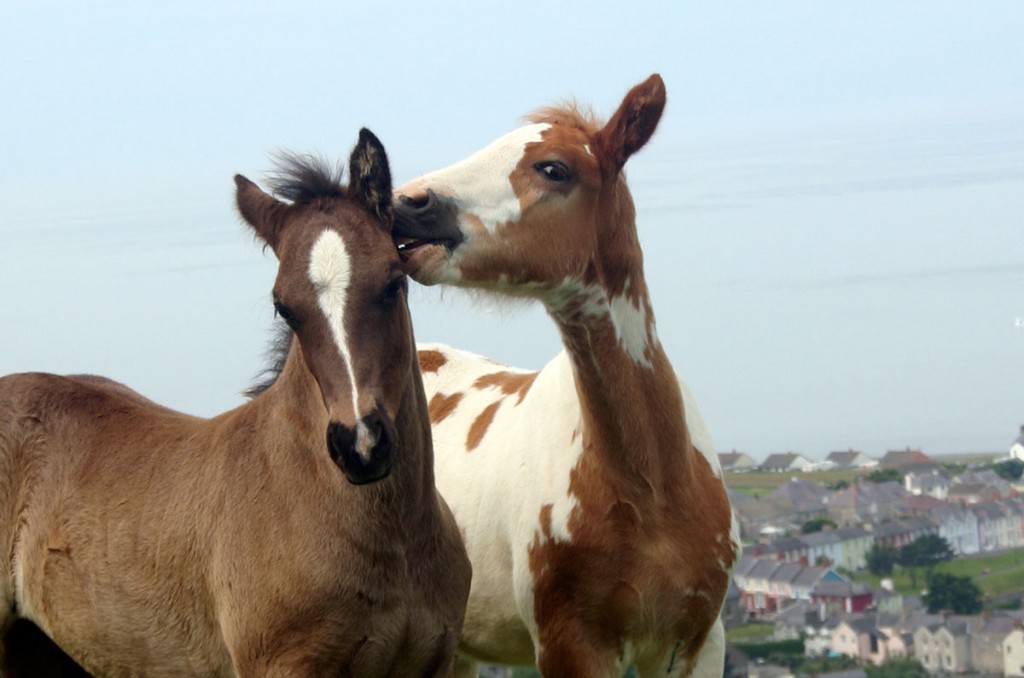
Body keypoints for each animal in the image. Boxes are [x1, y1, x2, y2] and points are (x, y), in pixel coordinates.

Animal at [0, 130, 471, 675]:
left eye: (394, 282)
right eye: (284, 307)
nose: (360, 445)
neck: (395, 546)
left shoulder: (437, 660)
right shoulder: (282, 663)